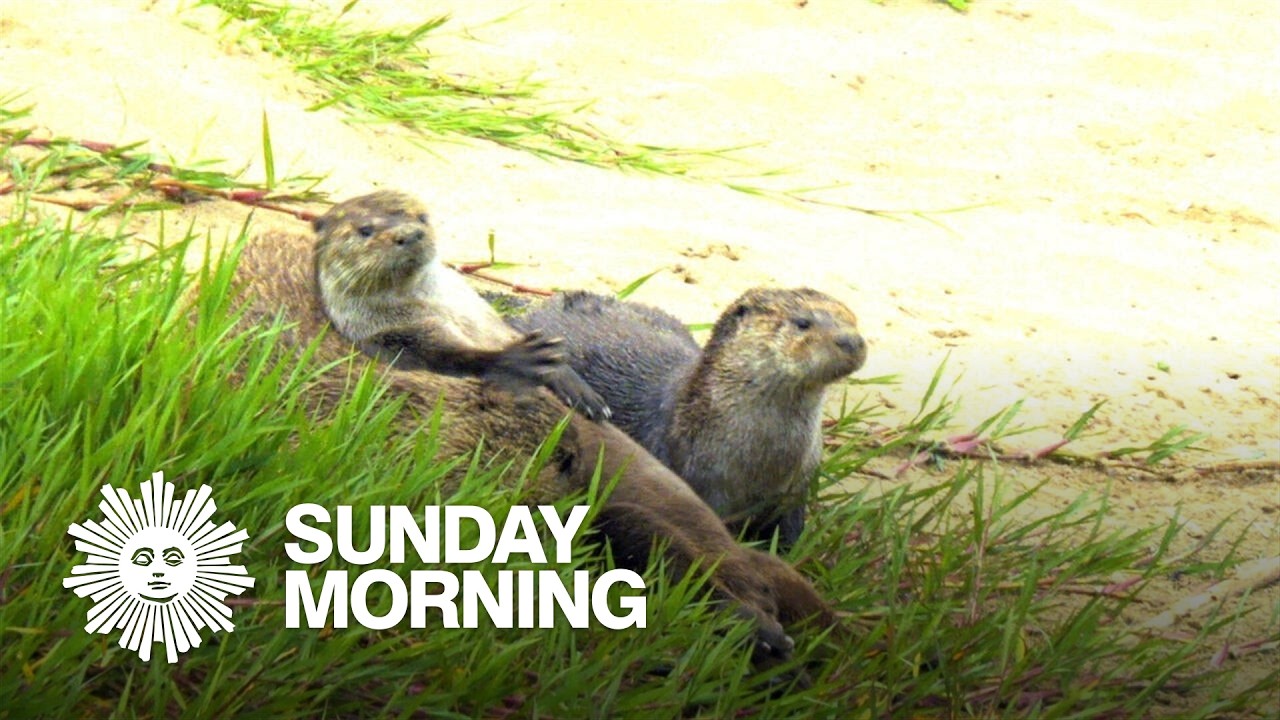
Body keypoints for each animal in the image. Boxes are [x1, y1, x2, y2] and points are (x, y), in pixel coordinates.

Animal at [312, 190, 609, 420]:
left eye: (421, 218)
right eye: (365, 230)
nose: (409, 234)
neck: (441, 309)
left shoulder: (488, 320)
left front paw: (574, 384)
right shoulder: (394, 337)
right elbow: (453, 359)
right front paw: (520, 358)